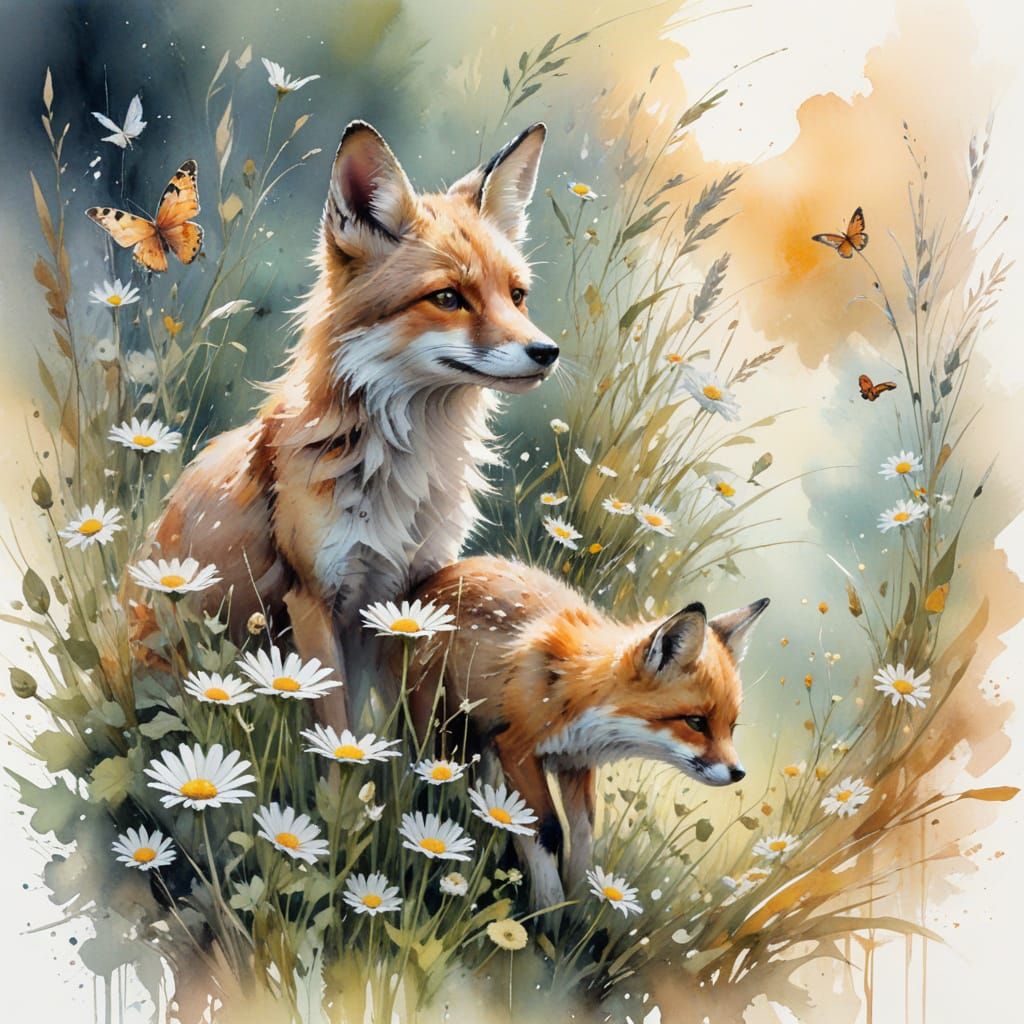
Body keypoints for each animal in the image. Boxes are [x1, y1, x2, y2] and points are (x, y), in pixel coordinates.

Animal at [129, 121, 558, 729]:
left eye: (517, 296)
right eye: (448, 297)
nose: (547, 352)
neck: (401, 471)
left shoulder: (406, 599)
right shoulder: (313, 598)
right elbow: (335, 733)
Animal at [408, 556, 769, 908]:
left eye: (731, 726)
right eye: (696, 722)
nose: (738, 773)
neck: (576, 695)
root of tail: (434, 578)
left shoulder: (576, 763)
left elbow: (582, 838)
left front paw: (580, 906)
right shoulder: (516, 749)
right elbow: (548, 830)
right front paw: (548, 914)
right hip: (436, 730)